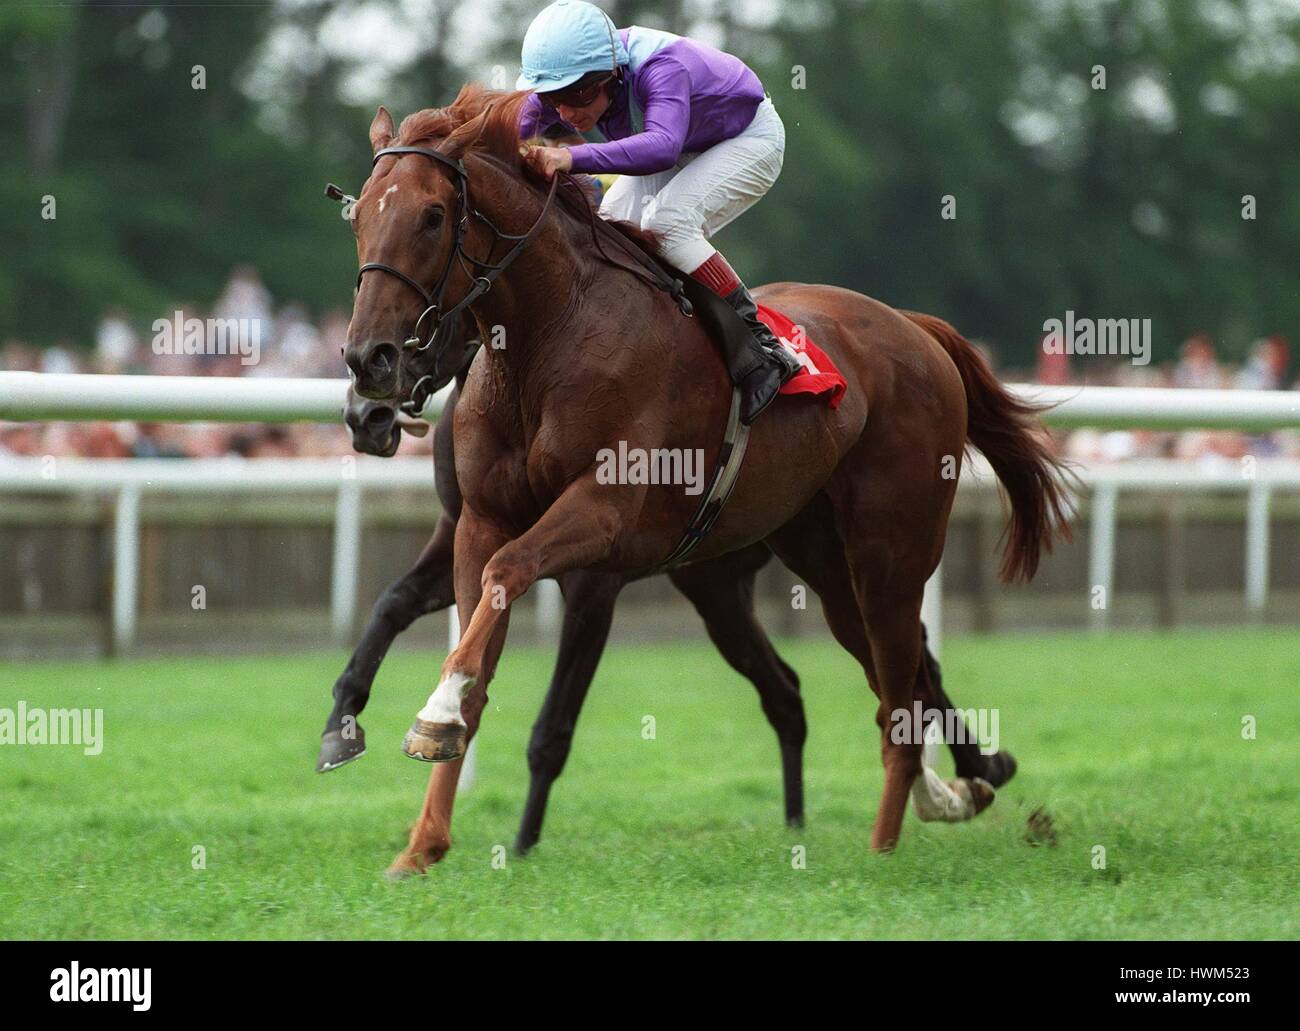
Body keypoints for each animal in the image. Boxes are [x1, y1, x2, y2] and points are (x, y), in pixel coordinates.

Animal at [343, 90, 1066, 878]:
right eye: (358, 215)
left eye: (432, 215)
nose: (369, 365)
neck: (547, 339)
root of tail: (915, 328)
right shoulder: (479, 520)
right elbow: (470, 636)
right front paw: (421, 838)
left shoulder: (601, 526)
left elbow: (511, 593)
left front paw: (434, 723)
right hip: (817, 558)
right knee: (890, 683)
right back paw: (949, 792)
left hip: (891, 554)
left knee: (900, 685)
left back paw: (889, 842)